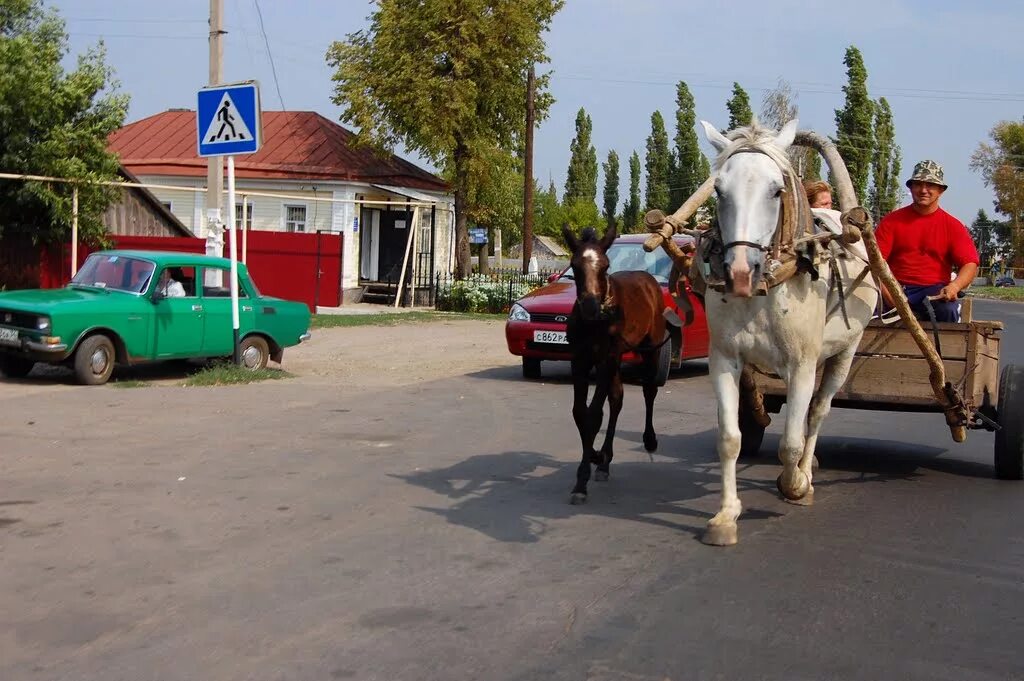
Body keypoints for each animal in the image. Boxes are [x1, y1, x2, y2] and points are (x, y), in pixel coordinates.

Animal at [704, 115, 880, 540]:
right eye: (718, 189)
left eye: (776, 190)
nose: (739, 273)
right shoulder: (724, 359)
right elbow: (730, 439)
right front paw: (726, 515)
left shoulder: (801, 364)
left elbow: (791, 442)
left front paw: (795, 484)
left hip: (843, 353)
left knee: (817, 413)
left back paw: (806, 472)